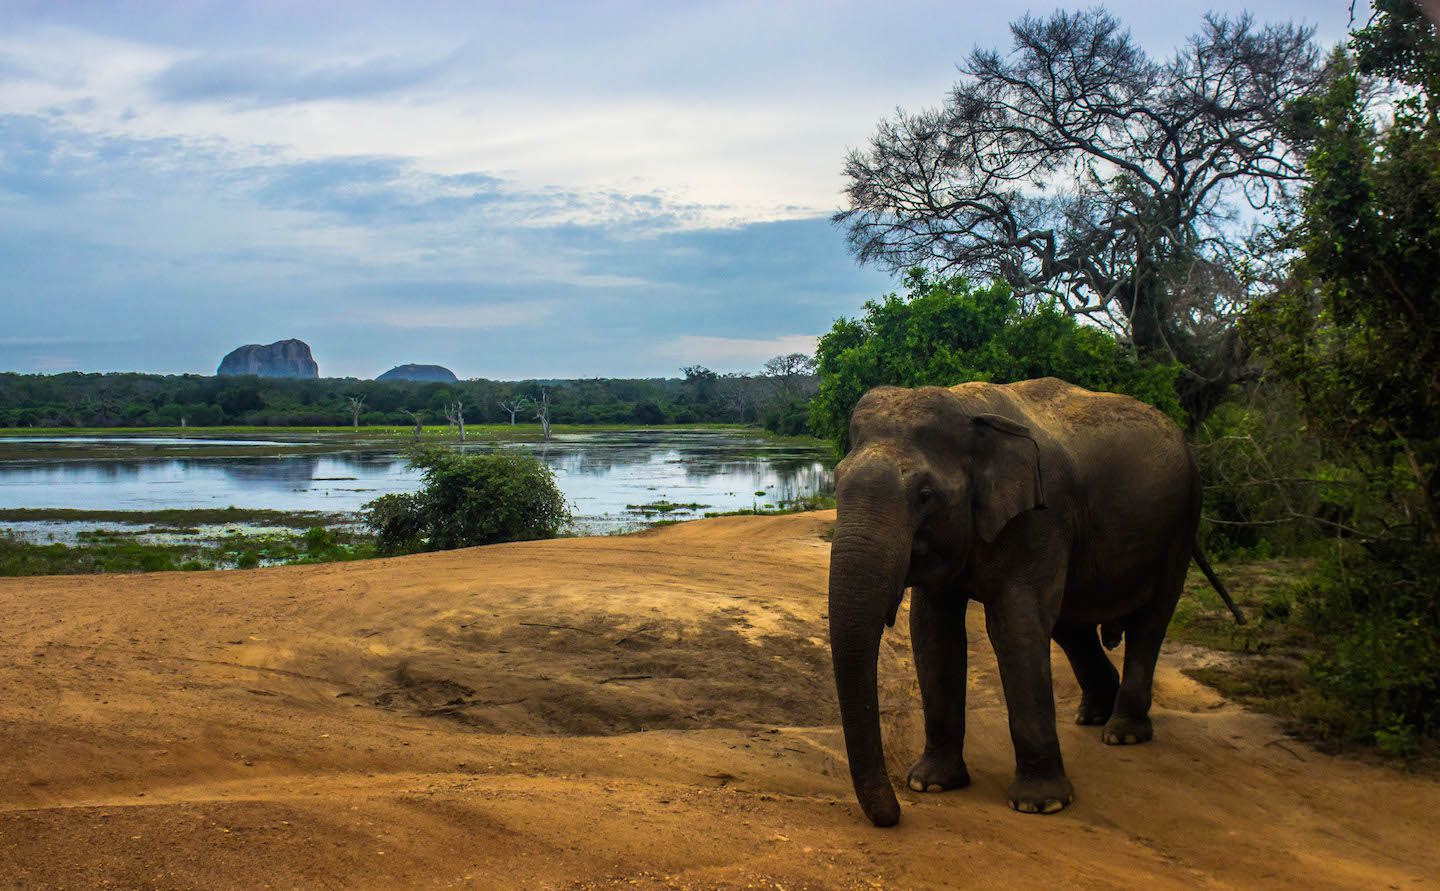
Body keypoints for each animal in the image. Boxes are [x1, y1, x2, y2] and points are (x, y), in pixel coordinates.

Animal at [826, 378, 1244, 827]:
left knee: (1150, 619)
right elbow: (932, 631)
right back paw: (1093, 715)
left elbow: (1015, 625)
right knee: (1071, 626)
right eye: (836, 481)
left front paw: (1040, 805)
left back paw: (1121, 733)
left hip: (1182, 523)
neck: (968, 408)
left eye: (926, 494)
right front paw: (931, 783)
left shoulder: (1041, 517)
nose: (896, 814)